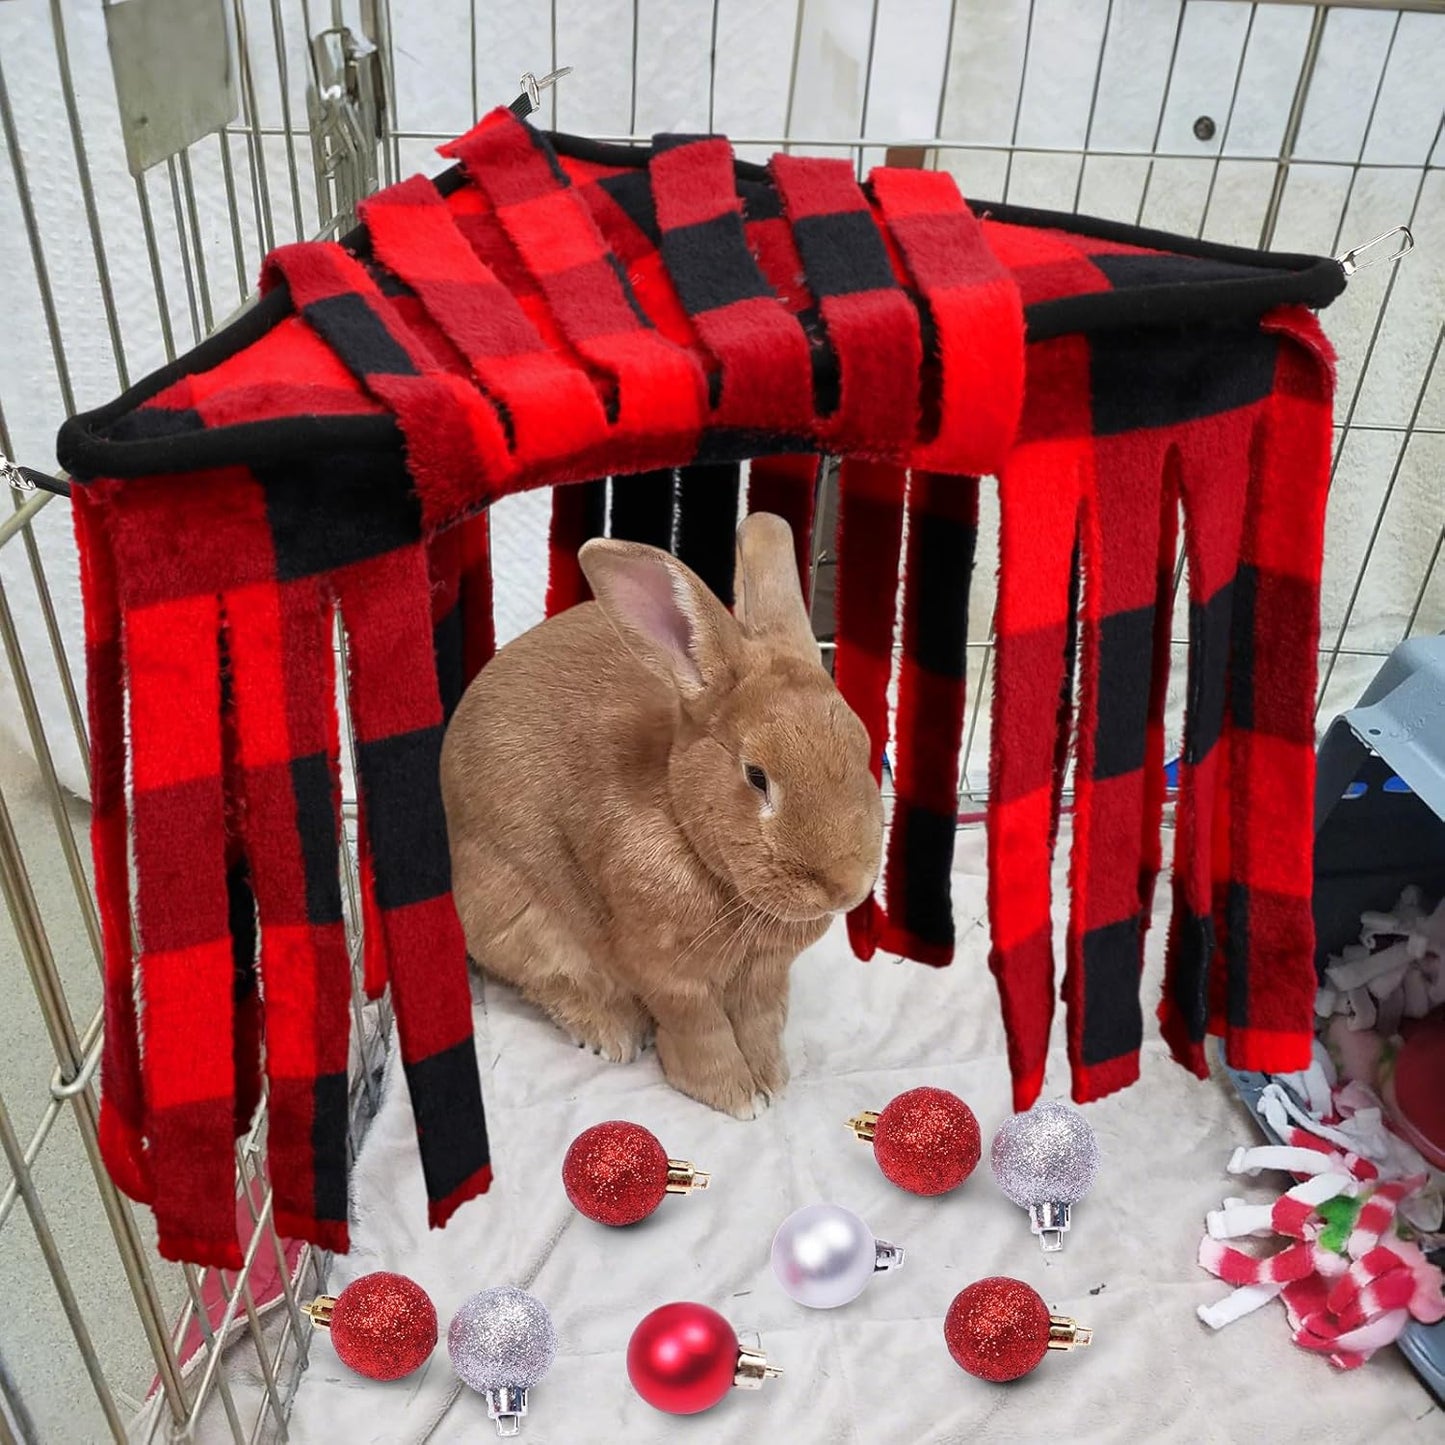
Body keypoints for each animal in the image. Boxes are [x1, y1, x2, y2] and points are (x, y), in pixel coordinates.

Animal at [439, 511, 884, 1119]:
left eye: (864, 747)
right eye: (757, 776)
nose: (846, 887)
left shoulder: (765, 976)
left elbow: (759, 1023)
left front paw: (771, 1079)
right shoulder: (667, 971)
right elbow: (701, 1030)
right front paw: (735, 1096)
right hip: (514, 917)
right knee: (551, 981)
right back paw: (612, 1035)